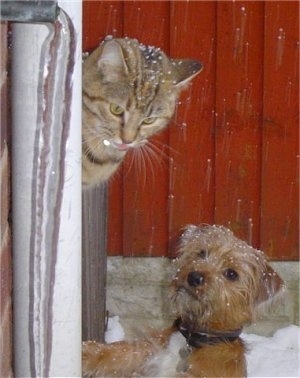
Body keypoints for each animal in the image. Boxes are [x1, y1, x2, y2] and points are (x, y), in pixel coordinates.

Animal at [82, 223, 284, 376]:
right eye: (202, 253)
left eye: (231, 274)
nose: (194, 277)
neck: (193, 339)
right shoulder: (150, 350)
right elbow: (119, 351)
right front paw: (86, 352)